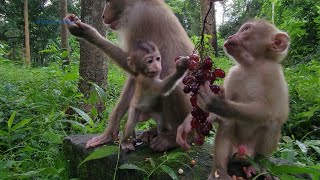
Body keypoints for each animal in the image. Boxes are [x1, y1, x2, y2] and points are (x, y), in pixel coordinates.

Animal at [64, 0, 206, 152]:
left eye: (108, 2)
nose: (102, 15)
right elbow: (135, 77)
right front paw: (109, 134)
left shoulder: (138, 18)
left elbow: (133, 64)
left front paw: (87, 32)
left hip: (193, 112)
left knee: (173, 86)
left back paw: (178, 138)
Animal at [176, 19, 292, 179]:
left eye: (246, 29)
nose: (232, 35)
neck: (252, 65)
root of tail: (243, 152)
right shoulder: (234, 74)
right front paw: (187, 124)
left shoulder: (274, 75)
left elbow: (273, 111)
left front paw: (218, 104)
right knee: (228, 122)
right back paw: (220, 170)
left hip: (252, 153)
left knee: (272, 124)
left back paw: (256, 166)